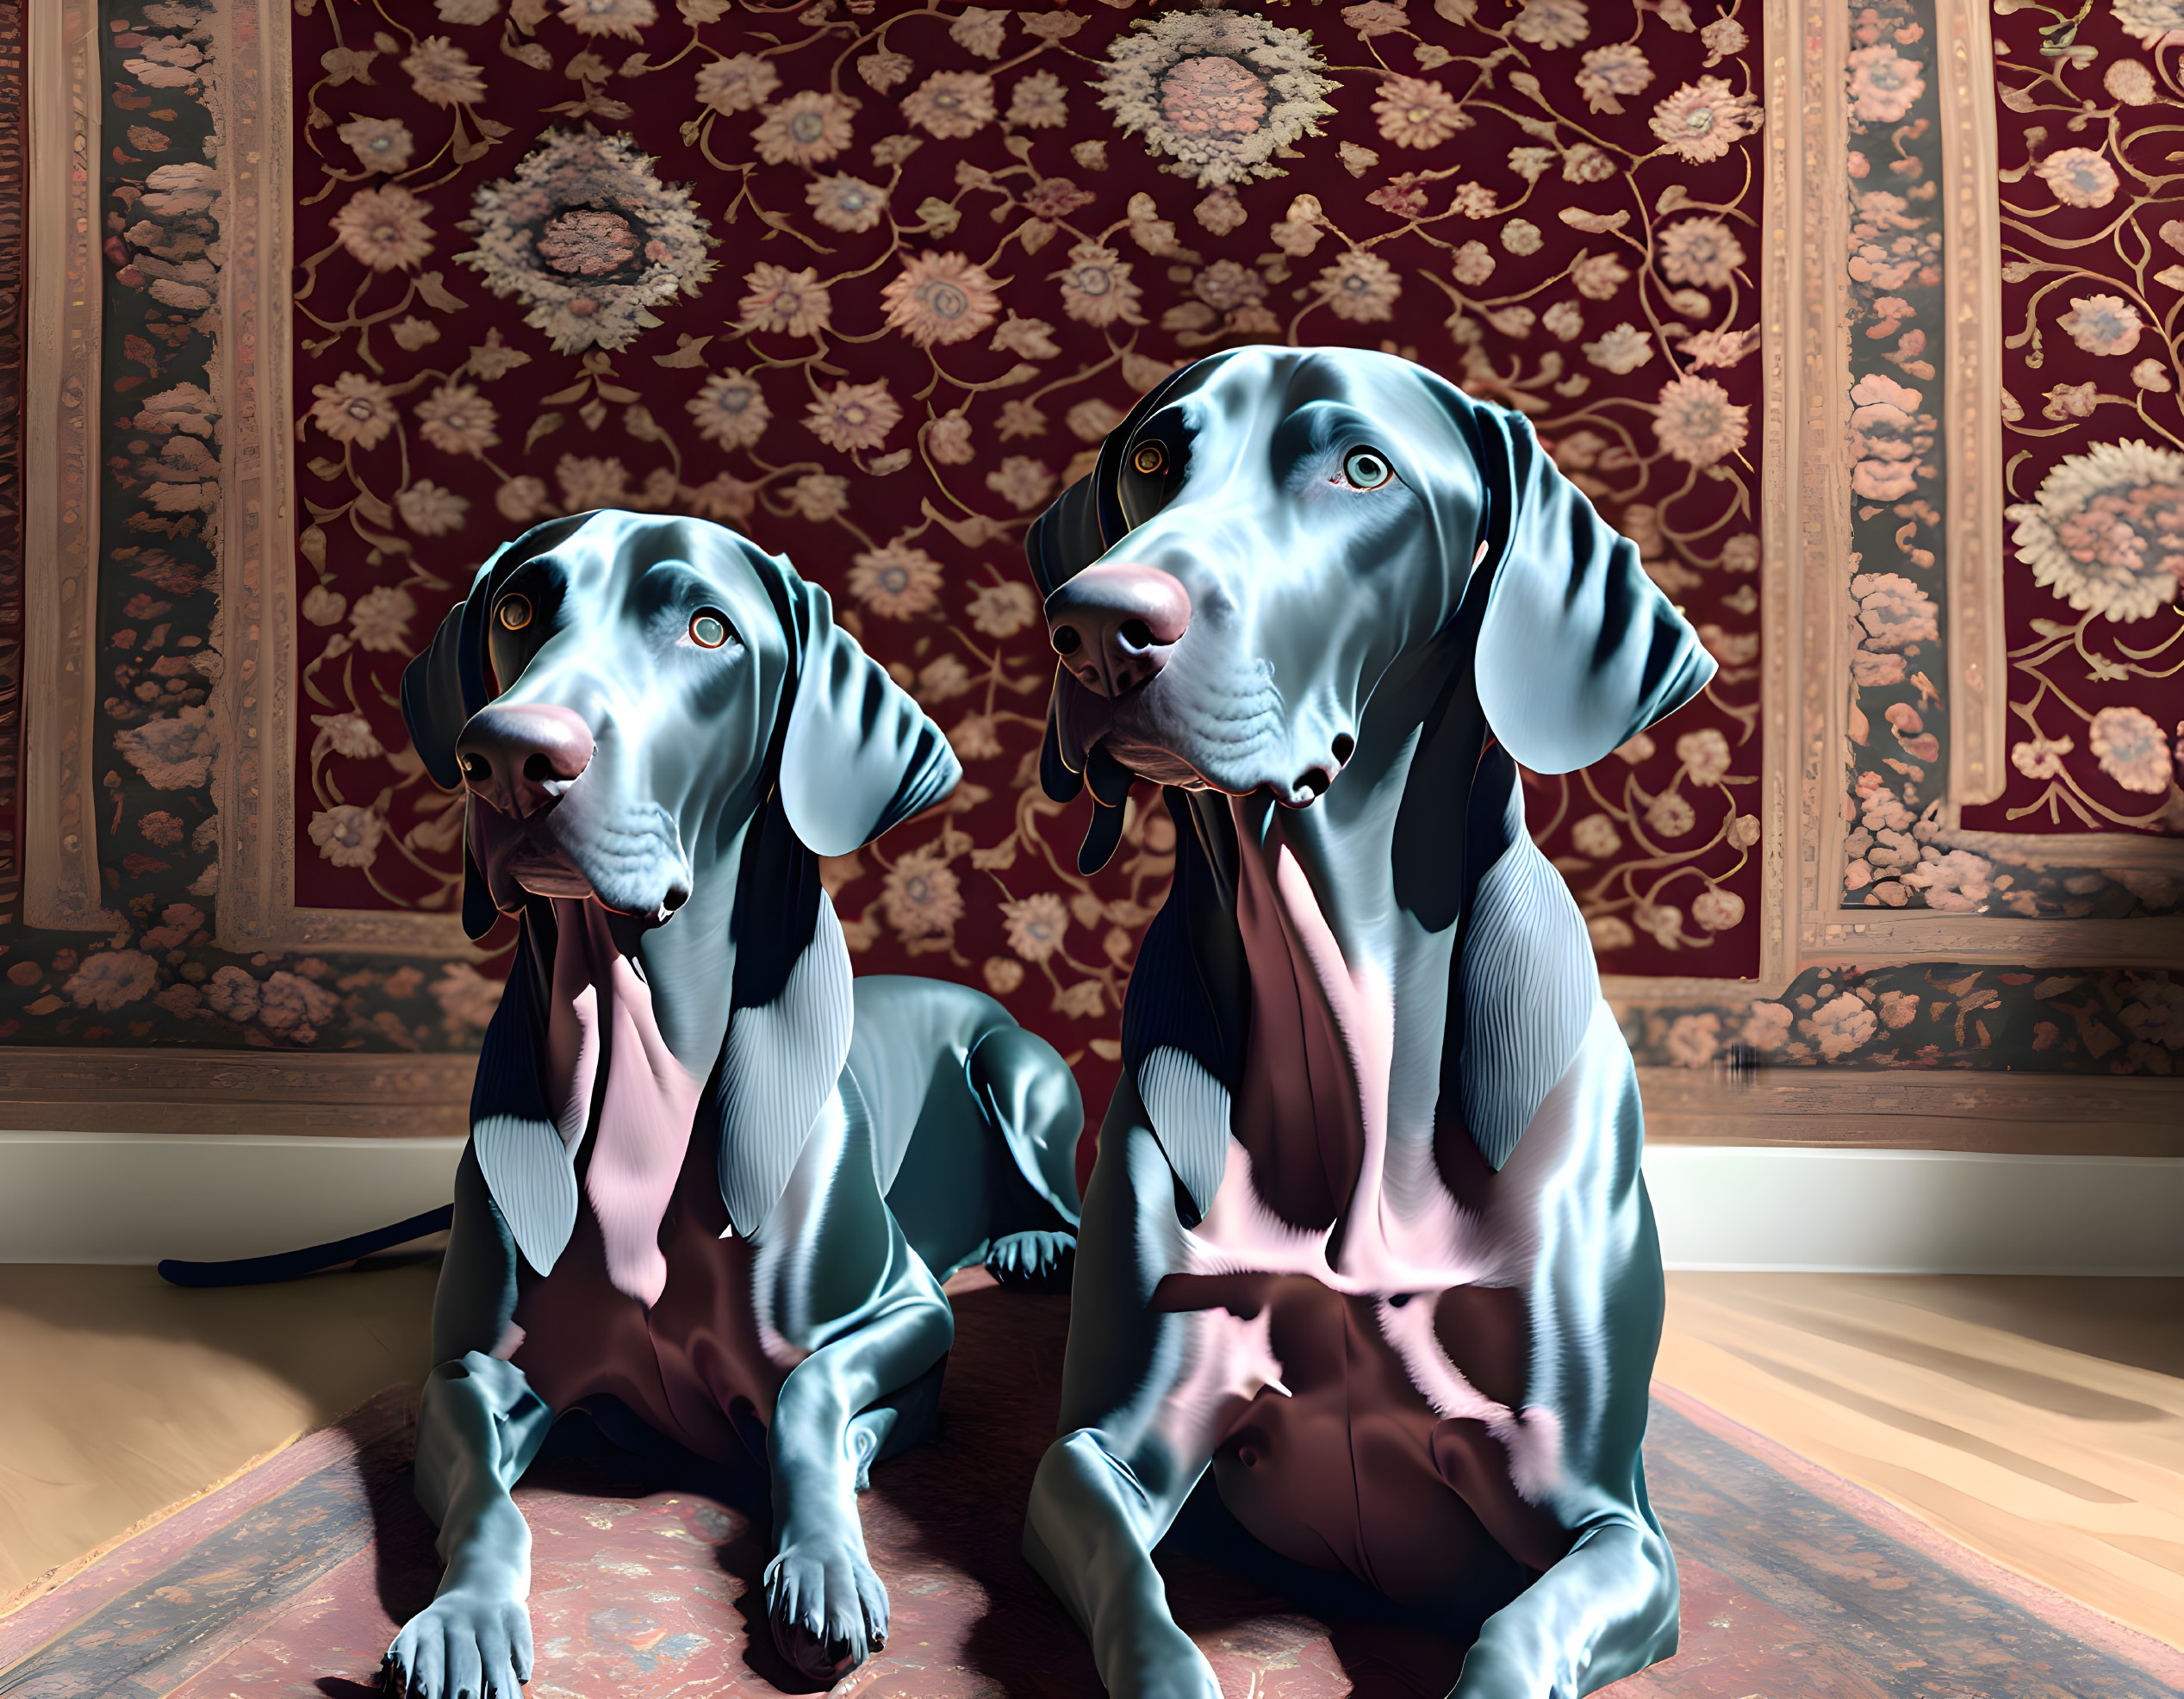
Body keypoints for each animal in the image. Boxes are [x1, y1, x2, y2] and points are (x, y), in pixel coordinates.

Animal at [389, 513, 1087, 1694]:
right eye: (519, 608)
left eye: (708, 629)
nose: (511, 754)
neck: (645, 1086)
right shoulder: (470, 1370)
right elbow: (485, 1493)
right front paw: (464, 1613)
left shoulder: (907, 1311)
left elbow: (808, 1401)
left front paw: (825, 1562)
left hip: (1020, 1073)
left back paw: (1037, 1241)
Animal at [1013, 347, 1712, 1694]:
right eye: (1150, 457)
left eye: (1361, 469)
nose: (1096, 624)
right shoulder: (1106, 1445)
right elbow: (1137, 1602)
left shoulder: (1608, 1521)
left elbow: (1515, 1635)